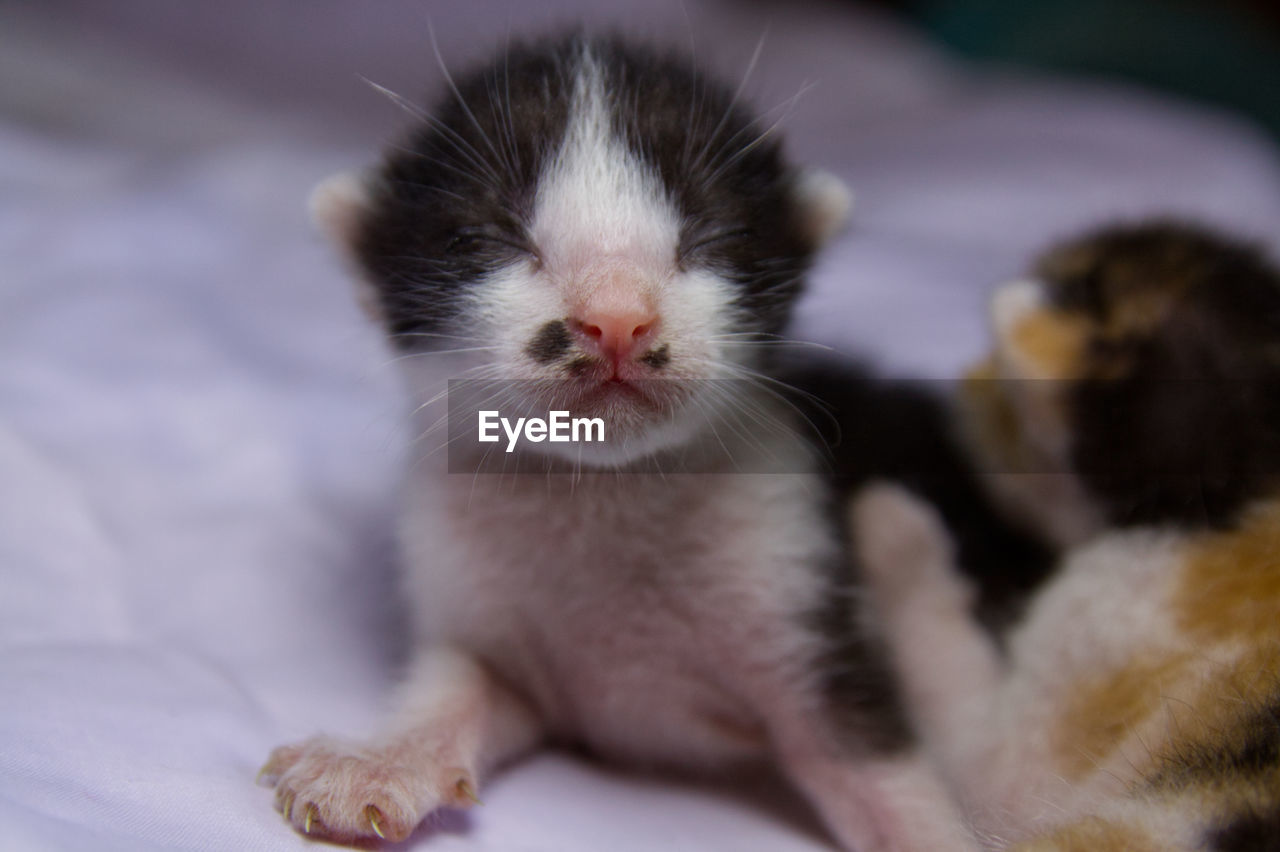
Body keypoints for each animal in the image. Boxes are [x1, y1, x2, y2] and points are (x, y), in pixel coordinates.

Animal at [254, 33, 972, 849]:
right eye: (482, 238)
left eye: (715, 237)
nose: (618, 316)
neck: (605, 491)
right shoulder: (480, 605)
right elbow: (461, 686)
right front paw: (376, 763)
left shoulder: (801, 585)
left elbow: (878, 767)